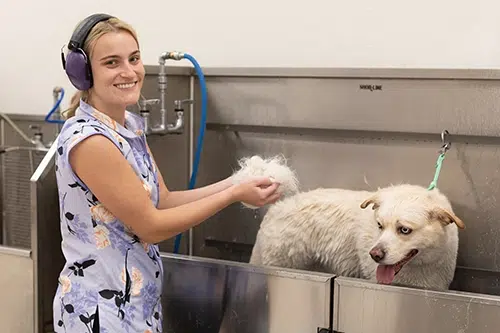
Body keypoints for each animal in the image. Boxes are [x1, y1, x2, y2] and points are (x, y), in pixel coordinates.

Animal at [232, 154, 466, 290]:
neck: (421, 266)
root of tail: (282, 203)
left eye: (404, 230)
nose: (375, 255)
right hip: (274, 262)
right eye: (379, 225)